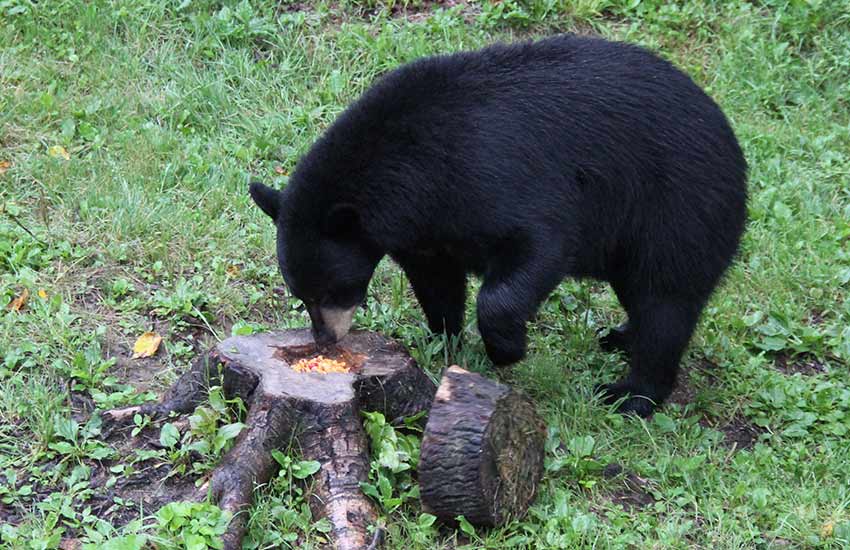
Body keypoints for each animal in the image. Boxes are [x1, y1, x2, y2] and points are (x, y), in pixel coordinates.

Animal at [248, 34, 744, 418]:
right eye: (300, 294)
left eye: (330, 291)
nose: (324, 340)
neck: (411, 172)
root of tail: (733, 146)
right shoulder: (427, 227)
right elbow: (437, 279)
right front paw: (443, 339)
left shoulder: (495, 175)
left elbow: (537, 248)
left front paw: (506, 350)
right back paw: (620, 337)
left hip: (677, 212)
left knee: (666, 303)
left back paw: (631, 394)